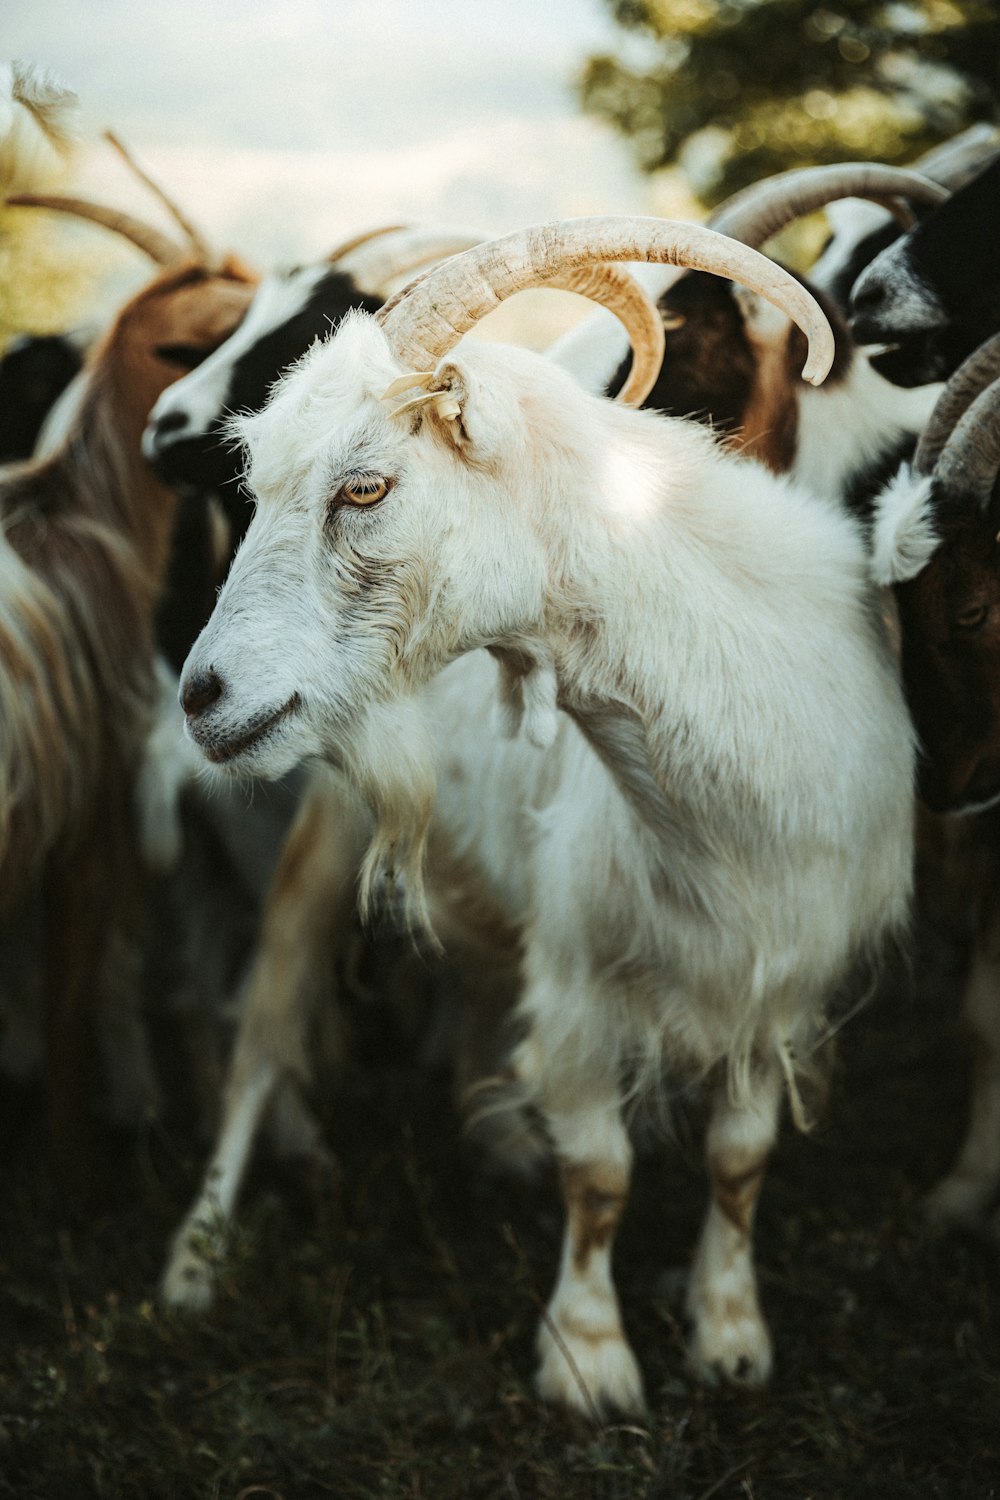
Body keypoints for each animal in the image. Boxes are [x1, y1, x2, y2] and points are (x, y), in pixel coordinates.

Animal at [173, 217, 917, 1410]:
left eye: (364, 488)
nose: (203, 696)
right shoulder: (580, 979)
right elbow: (601, 1172)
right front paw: (589, 1361)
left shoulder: (779, 975)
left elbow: (742, 1156)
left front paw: (729, 1333)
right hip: (319, 839)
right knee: (262, 1037)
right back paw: (193, 1267)